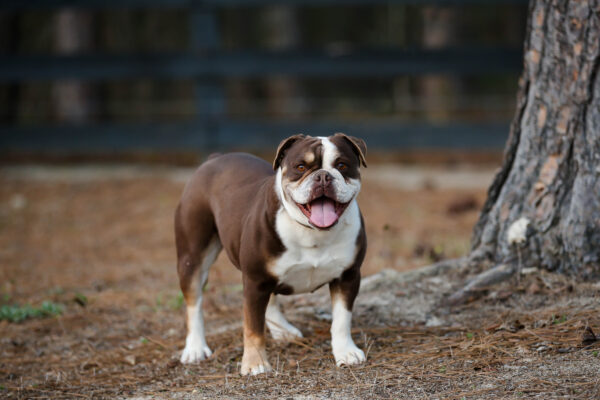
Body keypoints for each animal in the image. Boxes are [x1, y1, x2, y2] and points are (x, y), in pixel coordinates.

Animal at [175, 134, 366, 376]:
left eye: (342, 165)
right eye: (300, 167)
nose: (323, 176)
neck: (312, 231)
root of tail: (214, 159)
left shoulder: (347, 276)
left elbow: (342, 319)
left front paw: (345, 352)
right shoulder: (255, 280)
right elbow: (253, 327)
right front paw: (255, 363)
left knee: (271, 300)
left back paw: (283, 330)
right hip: (192, 258)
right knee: (194, 302)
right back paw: (195, 348)